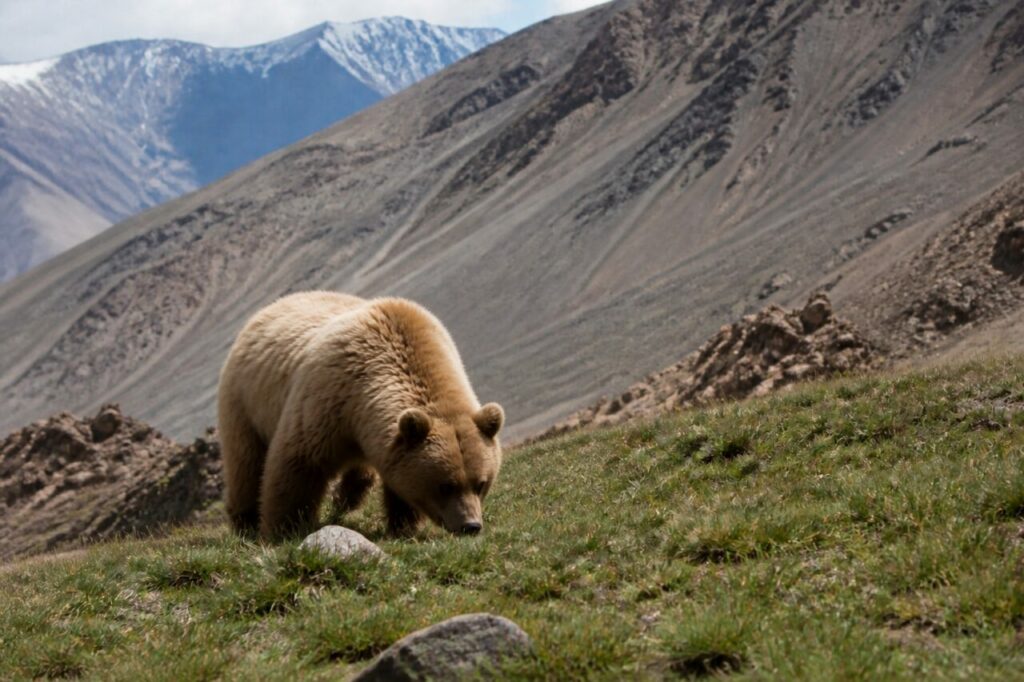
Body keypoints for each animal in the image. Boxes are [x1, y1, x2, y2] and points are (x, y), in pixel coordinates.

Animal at [217, 291, 505, 540]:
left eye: (481, 483)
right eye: (445, 485)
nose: (470, 525)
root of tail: (272, 306)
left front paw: (403, 525)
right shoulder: (326, 401)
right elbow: (297, 464)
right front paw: (284, 529)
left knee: (360, 475)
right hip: (245, 401)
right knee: (246, 462)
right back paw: (245, 521)